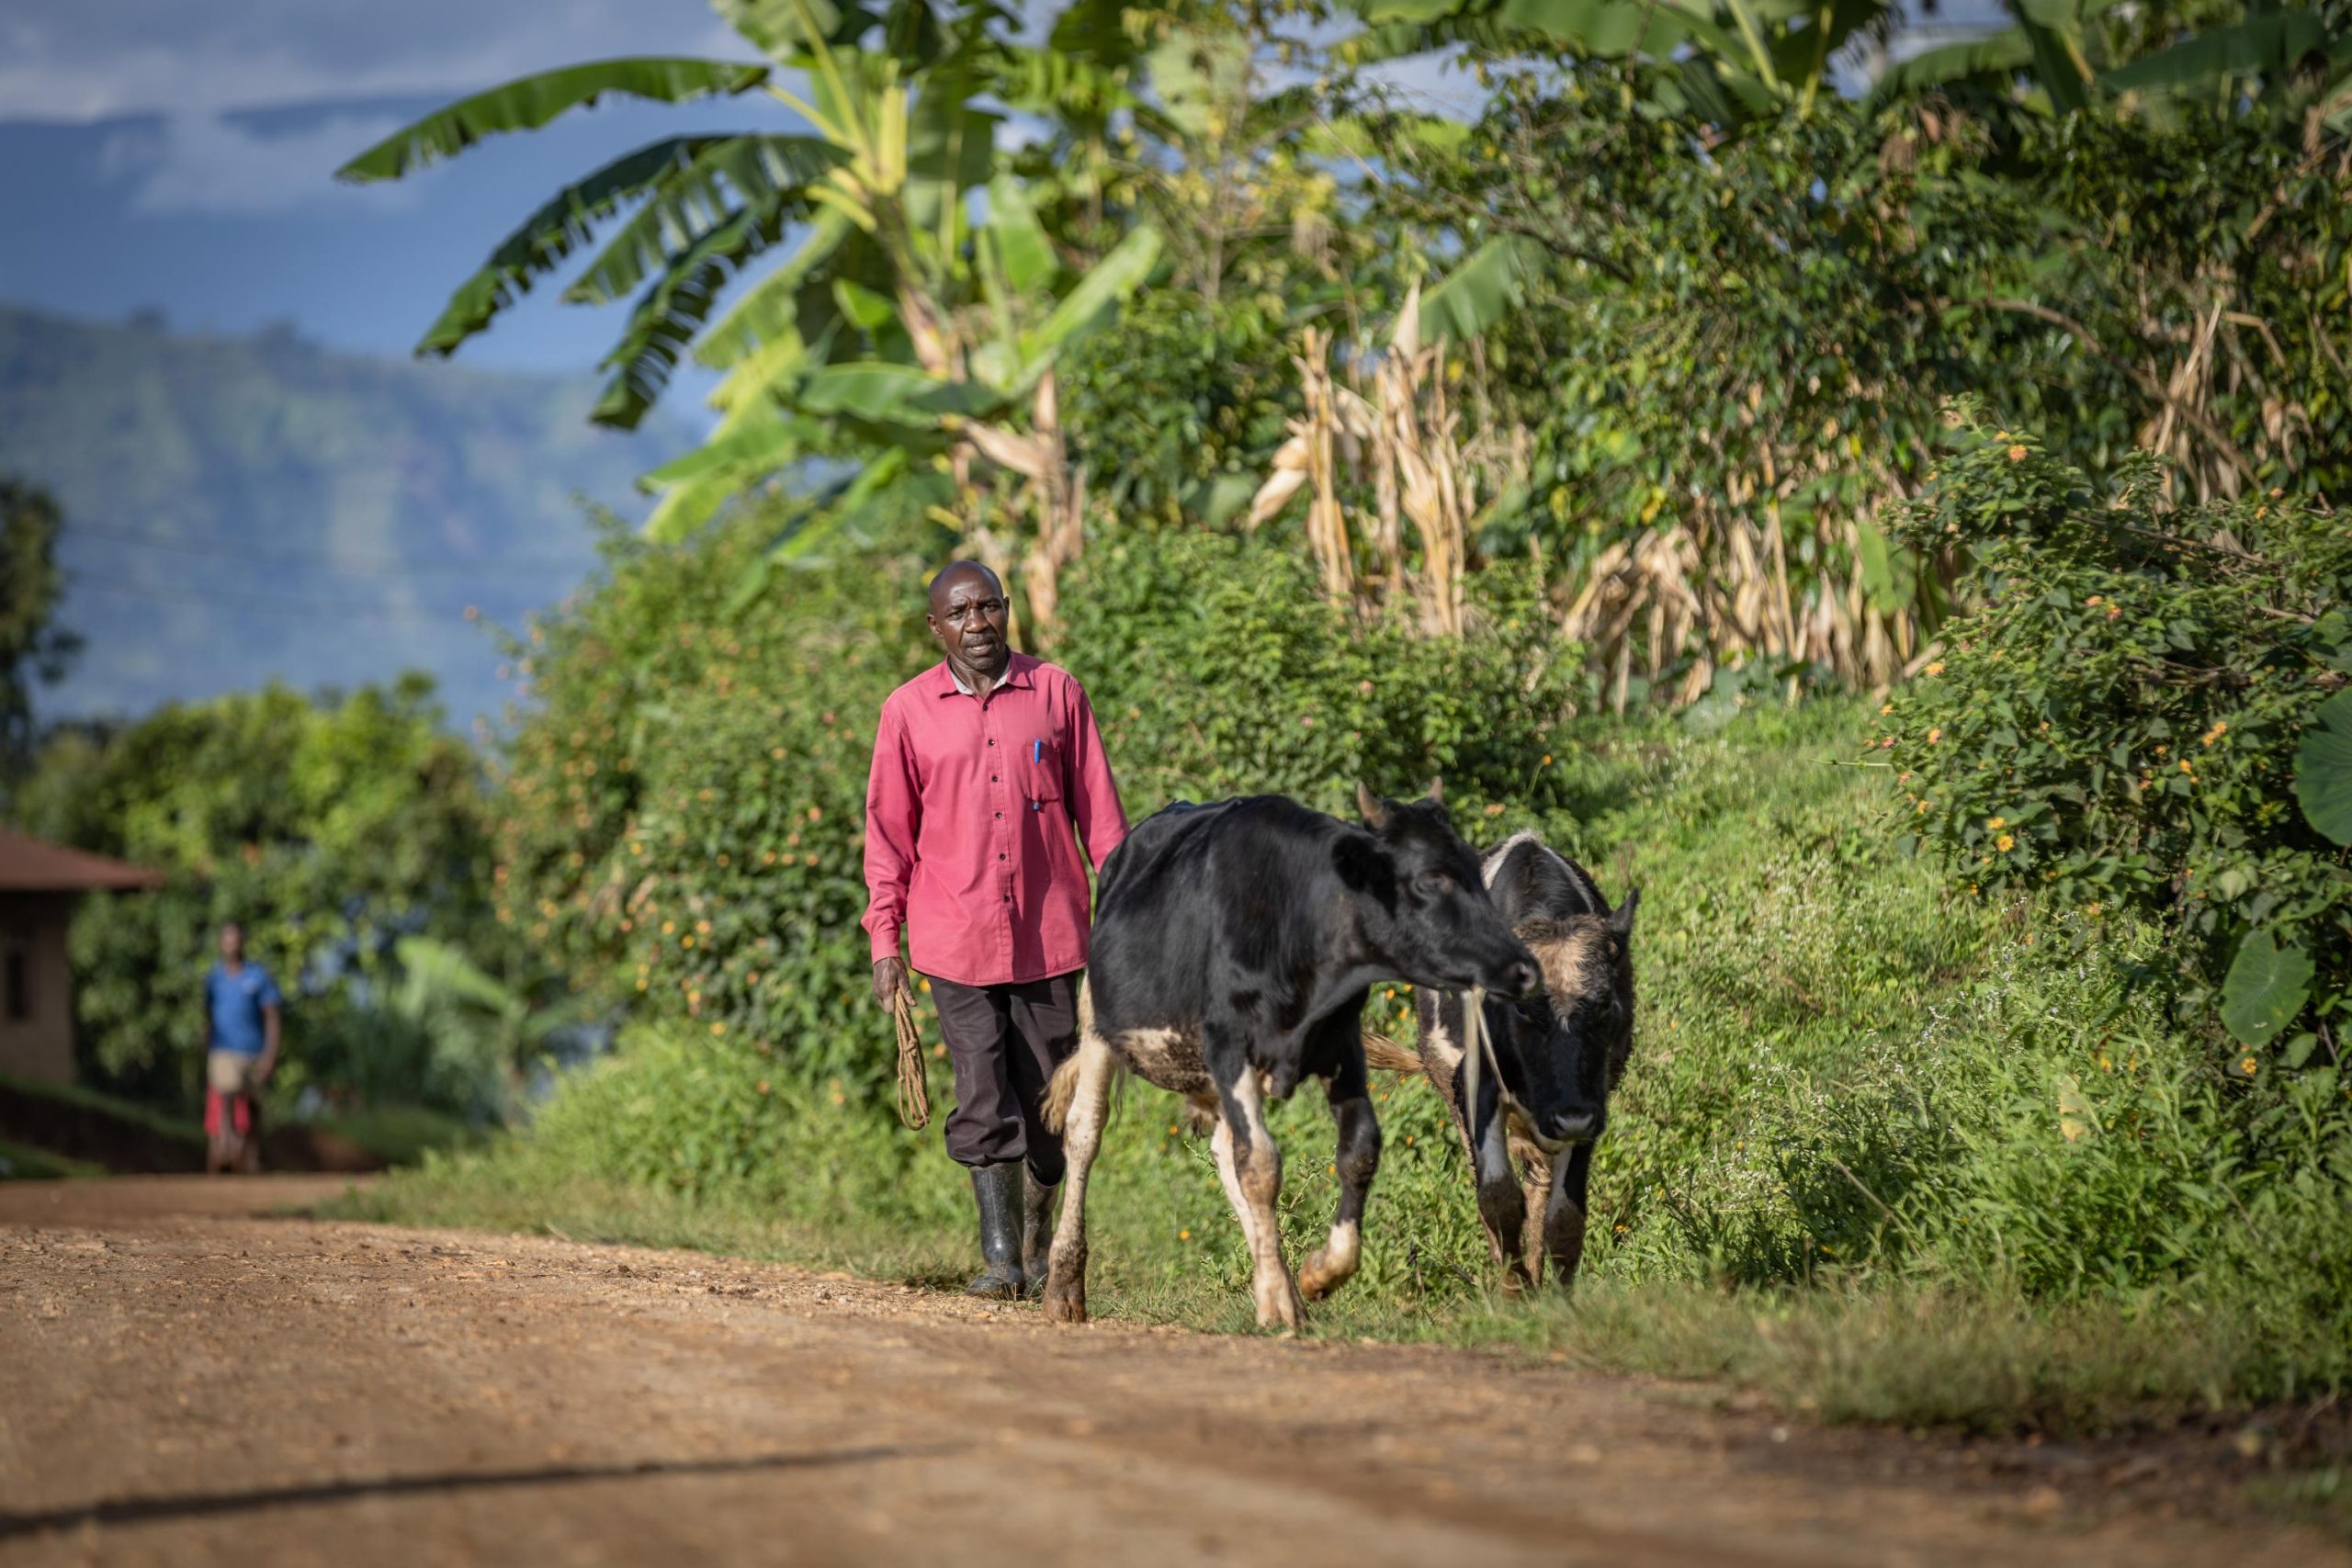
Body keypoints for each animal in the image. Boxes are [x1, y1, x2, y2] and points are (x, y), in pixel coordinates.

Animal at [1038, 783, 1540, 1330]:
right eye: (1430, 878)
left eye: (1474, 867)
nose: (1525, 968)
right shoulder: (1228, 1043)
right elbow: (1260, 1163)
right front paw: (1281, 1294)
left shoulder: (1340, 1043)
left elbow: (1359, 1148)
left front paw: (1318, 1275)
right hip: (1097, 1017)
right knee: (1085, 1130)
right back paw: (1064, 1286)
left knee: (1223, 1149)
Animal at [1366, 831, 1637, 1291]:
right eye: (1522, 1010)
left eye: (1605, 1006)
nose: (1570, 1115)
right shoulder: (1474, 1086)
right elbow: (1496, 1198)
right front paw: (1514, 1290)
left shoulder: (1592, 1102)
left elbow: (1565, 1217)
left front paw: (1558, 1295)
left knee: (1539, 1184)